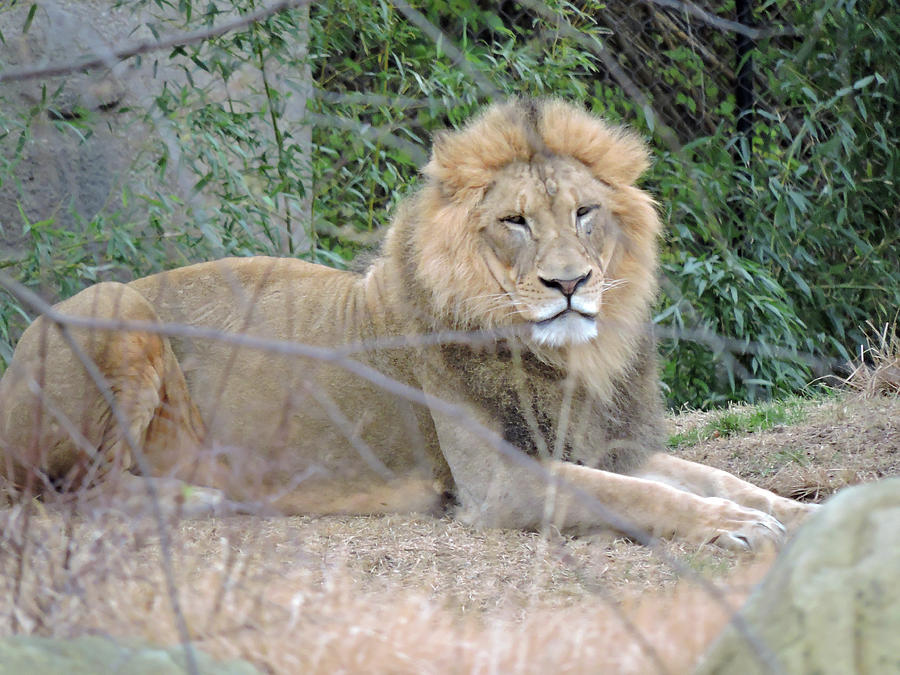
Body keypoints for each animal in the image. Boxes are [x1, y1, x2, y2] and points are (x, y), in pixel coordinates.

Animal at [0, 101, 816, 556]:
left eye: (584, 212)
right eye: (515, 222)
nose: (570, 284)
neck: (566, 358)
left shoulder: (607, 443)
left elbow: (717, 474)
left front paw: (800, 510)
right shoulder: (500, 482)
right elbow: (639, 498)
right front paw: (730, 526)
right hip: (115, 311)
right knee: (73, 494)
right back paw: (200, 496)